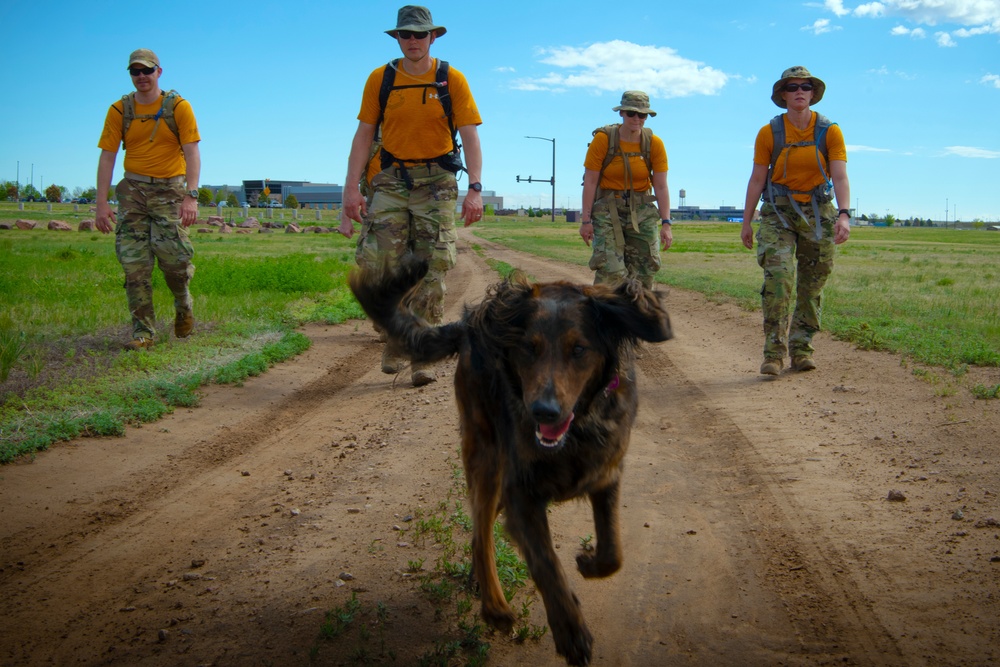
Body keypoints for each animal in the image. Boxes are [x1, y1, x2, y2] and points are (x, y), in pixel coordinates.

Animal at [350, 258, 672, 664]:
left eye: (579, 349)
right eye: (528, 349)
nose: (543, 412)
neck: (576, 431)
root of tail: (471, 324)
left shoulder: (605, 474)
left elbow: (613, 552)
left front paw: (587, 562)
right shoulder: (522, 492)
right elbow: (546, 563)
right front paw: (571, 631)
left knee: (483, 527)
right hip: (486, 456)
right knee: (481, 532)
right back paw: (495, 607)